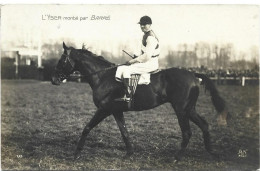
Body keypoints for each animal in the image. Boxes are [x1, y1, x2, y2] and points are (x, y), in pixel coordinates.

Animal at [50, 41, 228, 162]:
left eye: (61, 60)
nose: (53, 79)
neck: (103, 76)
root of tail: (192, 74)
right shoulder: (116, 111)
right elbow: (124, 132)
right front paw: (129, 153)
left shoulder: (104, 109)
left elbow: (87, 128)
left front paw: (76, 153)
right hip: (189, 109)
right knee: (204, 125)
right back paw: (212, 153)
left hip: (181, 110)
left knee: (187, 132)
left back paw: (176, 157)